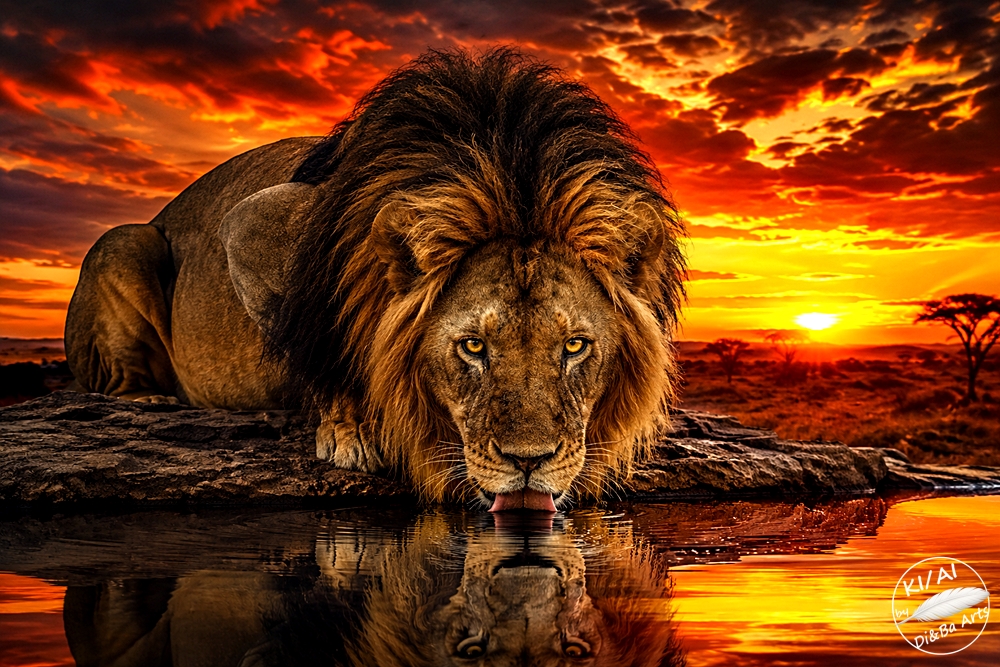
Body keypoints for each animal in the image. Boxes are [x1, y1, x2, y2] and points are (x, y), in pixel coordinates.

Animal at [65, 48, 686, 507]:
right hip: (124, 243)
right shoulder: (247, 223)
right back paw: (152, 401)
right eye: (473, 347)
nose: (528, 463)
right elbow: (327, 346)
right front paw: (351, 436)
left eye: (576, 346)